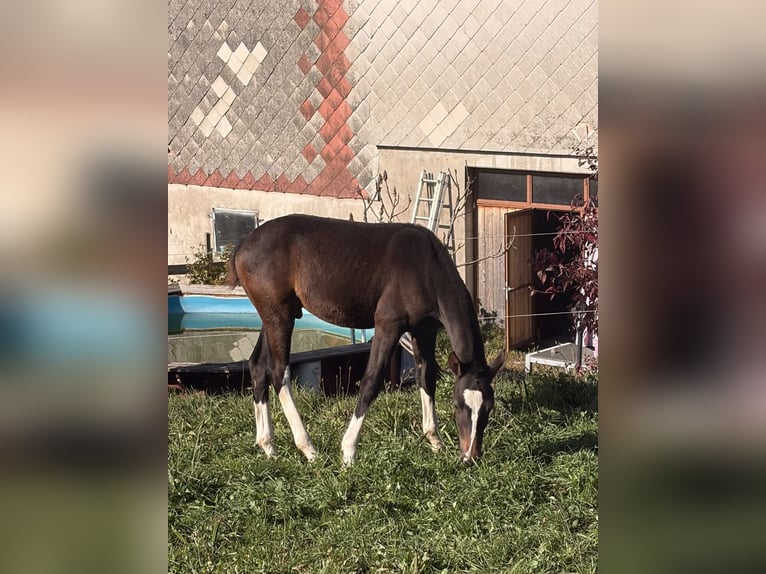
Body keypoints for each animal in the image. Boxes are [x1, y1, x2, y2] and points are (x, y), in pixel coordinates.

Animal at [226, 214, 505, 464]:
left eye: (488, 407)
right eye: (459, 405)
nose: (470, 457)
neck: (425, 267)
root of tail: (243, 244)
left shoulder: (424, 331)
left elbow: (427, 377)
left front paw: (435, 442)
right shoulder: (388, 326)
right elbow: (371, 382)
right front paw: (348, 452)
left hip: (273, 317)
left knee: (258, 366)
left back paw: (268, 446)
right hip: (280, 317)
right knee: (278, 372)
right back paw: (309, 449)